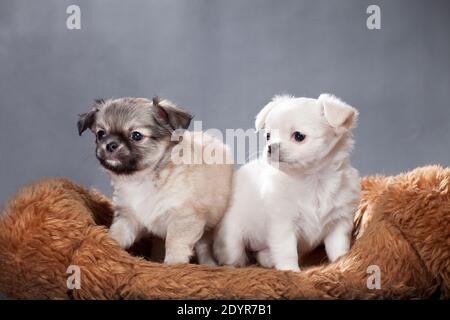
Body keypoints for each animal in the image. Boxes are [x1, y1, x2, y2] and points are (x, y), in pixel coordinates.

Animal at [77, 97, 232, 264]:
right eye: (101, 134)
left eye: (136, 136)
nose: (110, 144)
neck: (141, 179)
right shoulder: (128, 217)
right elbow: (118, 234)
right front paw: (108, 246)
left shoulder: (184, 217)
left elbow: (175, 242)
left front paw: (174, 263)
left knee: (204, 246)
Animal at [215, 94, 362, 272]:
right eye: (268, 136)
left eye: (298, 136)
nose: (270, 147)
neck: (312, 181)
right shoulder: (283, 224)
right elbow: (287, 250)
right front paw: (290, 271)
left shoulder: (339, 222)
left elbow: (338, 248)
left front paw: (340, 265)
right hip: (232, 240)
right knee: (233, 257)